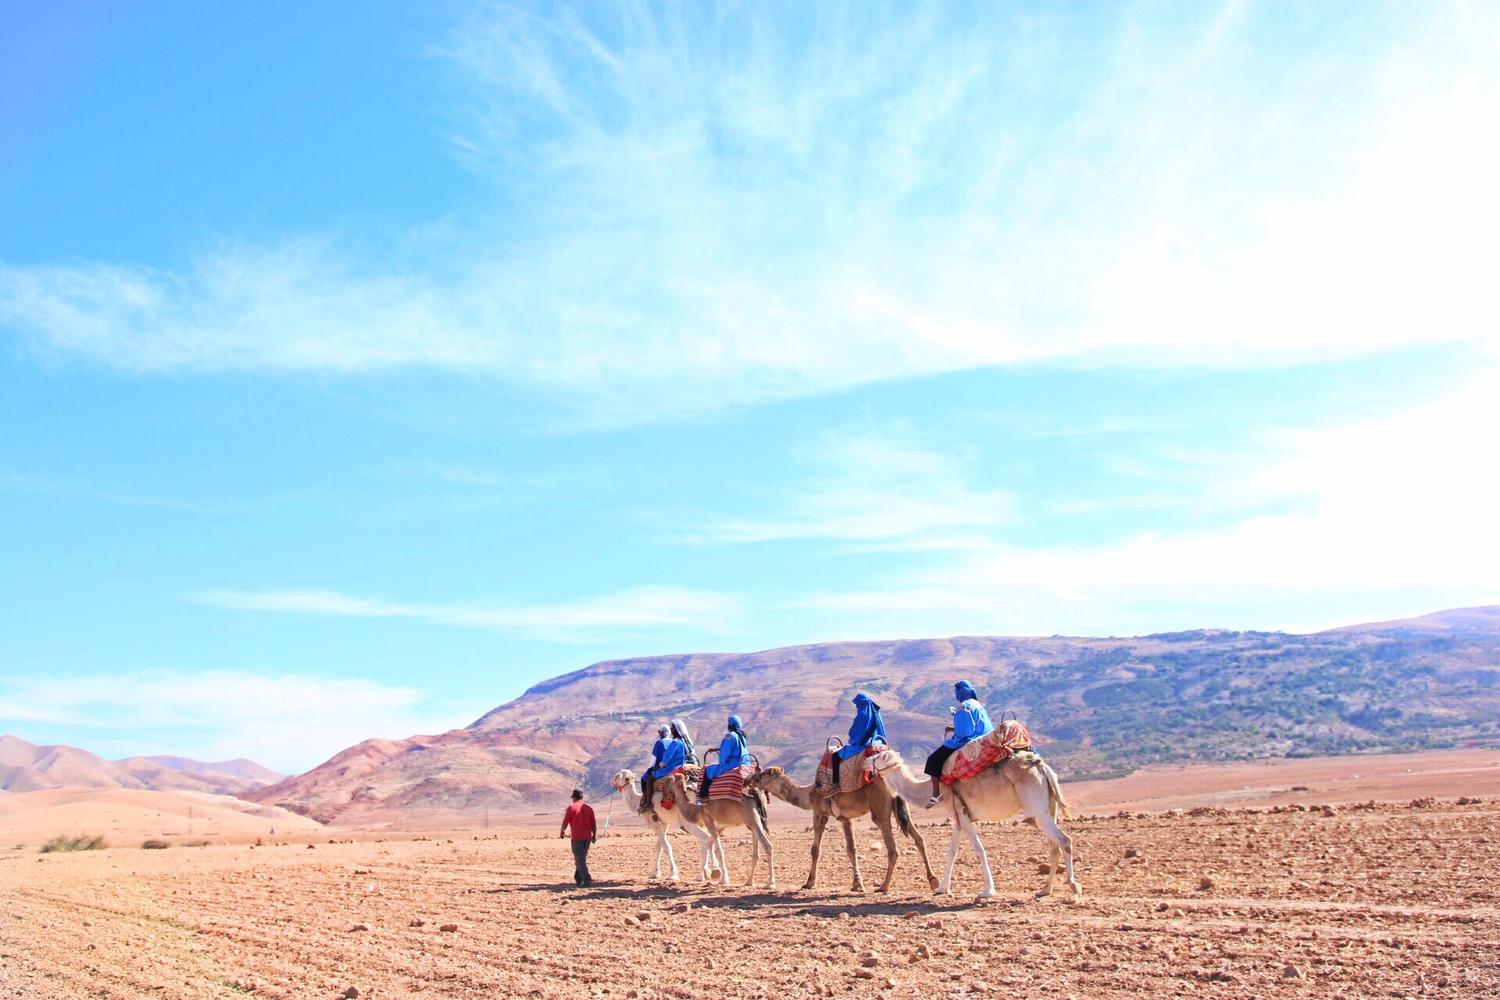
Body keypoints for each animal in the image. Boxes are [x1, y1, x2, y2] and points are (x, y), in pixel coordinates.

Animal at [748, 765, 938, 894]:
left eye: (763, 773)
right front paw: (857, 884)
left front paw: (809, 883)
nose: (749, 778)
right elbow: (851, 849)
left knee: (893, 849)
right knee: (919, 839)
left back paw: (883, 886)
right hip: (901, 808)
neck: (807, 794)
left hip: (880, 810)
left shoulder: (819, 814)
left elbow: (815, 850)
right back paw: (933, 881)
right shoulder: (846, 819)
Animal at [867, 749, 1080, 901]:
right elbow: (952, 852)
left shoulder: (961, 812)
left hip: (1037, 808)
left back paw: (1073, 886)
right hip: (1046, 809)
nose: (865, 762)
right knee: (1055, 847)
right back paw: (1045, 890)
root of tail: (1043, 769)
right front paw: (942, 888)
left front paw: (988, 890)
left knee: (1065, 840)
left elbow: (979, 849)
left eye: (877, 757)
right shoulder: (956, 817)